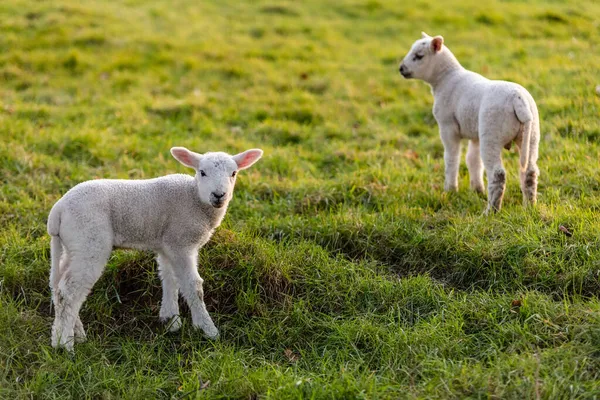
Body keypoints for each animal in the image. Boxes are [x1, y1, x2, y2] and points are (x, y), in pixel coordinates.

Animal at [47, 146, 262, 350]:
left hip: (72, 245)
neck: (194, 198)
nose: (218, 195)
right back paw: (65, 344)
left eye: (233, 173)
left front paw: (171, 320)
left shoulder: (168, 244)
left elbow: (169, 279)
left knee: (58, 288)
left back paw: (69, 334)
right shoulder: (181, 243)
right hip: (89, 241)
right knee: (69, 292)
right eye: (202, 172)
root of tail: (58, 210)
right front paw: (207, 329)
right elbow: (193, 286)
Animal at [398, 32, 540, 214]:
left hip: (492, 133)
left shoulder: (447, 127)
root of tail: (518, 99)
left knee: (498, 174)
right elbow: (473, 160)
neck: (445, 78)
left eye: (419, 56)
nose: (401, 69)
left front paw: (450, 190)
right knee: (530, 171)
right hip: (530, 133)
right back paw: (529, 206)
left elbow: (451, 158)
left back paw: (491, 211)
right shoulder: (475, 134)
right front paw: (477, 190)